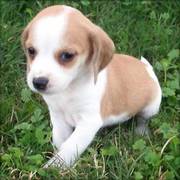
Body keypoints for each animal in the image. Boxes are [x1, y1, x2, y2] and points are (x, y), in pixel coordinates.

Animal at [21, 4, 162, 168]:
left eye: (67, 55)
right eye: (31, 51)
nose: (39, 82)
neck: (69, 89)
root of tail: (147, 68)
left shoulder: (88, 122)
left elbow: (70, 147)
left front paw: (54, 167)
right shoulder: (58, 116)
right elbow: (61, 140)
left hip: (151, 107)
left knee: (143, 119)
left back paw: (141, 132)